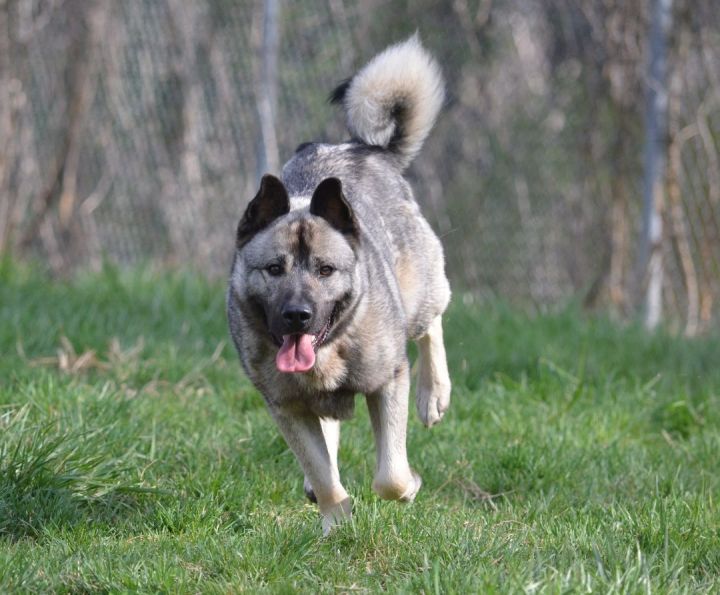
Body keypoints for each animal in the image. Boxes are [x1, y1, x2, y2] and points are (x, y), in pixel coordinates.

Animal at [226, 35, 450, 532]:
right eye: (275, 269)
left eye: (326, 270)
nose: (298, 315)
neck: (329, 351)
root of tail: (363, 147)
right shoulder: (286, 407)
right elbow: (323, 473)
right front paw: (337, 522)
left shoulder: (388, 382)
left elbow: (390, 475)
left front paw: (409, 487)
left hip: (420, 291)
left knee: (431, 324)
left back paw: (433, 396)